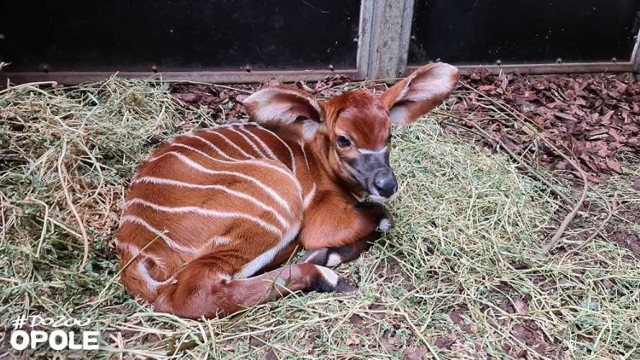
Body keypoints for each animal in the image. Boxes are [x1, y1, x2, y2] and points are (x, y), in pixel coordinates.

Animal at [116, 62, 460, 318]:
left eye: (389, 135)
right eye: (343, 139)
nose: (386, 184)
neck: (318, 159)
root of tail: (134, 253)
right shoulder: (322, 221)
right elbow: (380, 218)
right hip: (277, 192)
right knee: (192, 293)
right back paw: (325, 275)